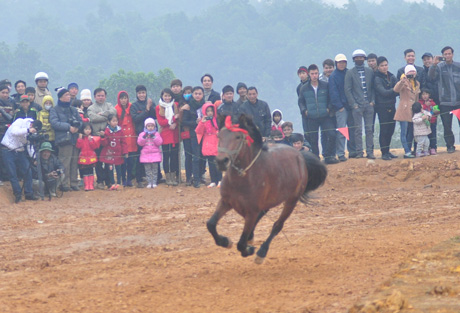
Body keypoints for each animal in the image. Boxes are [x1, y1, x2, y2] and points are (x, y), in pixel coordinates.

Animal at [207, 114, 328, 264]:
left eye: (238, 137)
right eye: (219, 136)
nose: (221, 161)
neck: (243, 178)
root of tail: (300, 156)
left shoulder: (251, 211)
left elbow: (241, 243)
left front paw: (249, 249)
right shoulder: (225, 202)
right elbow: (211, 224)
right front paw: (225, 241)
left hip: (291, 201)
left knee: (277, 225)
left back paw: (261, 252)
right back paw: (251, 238)